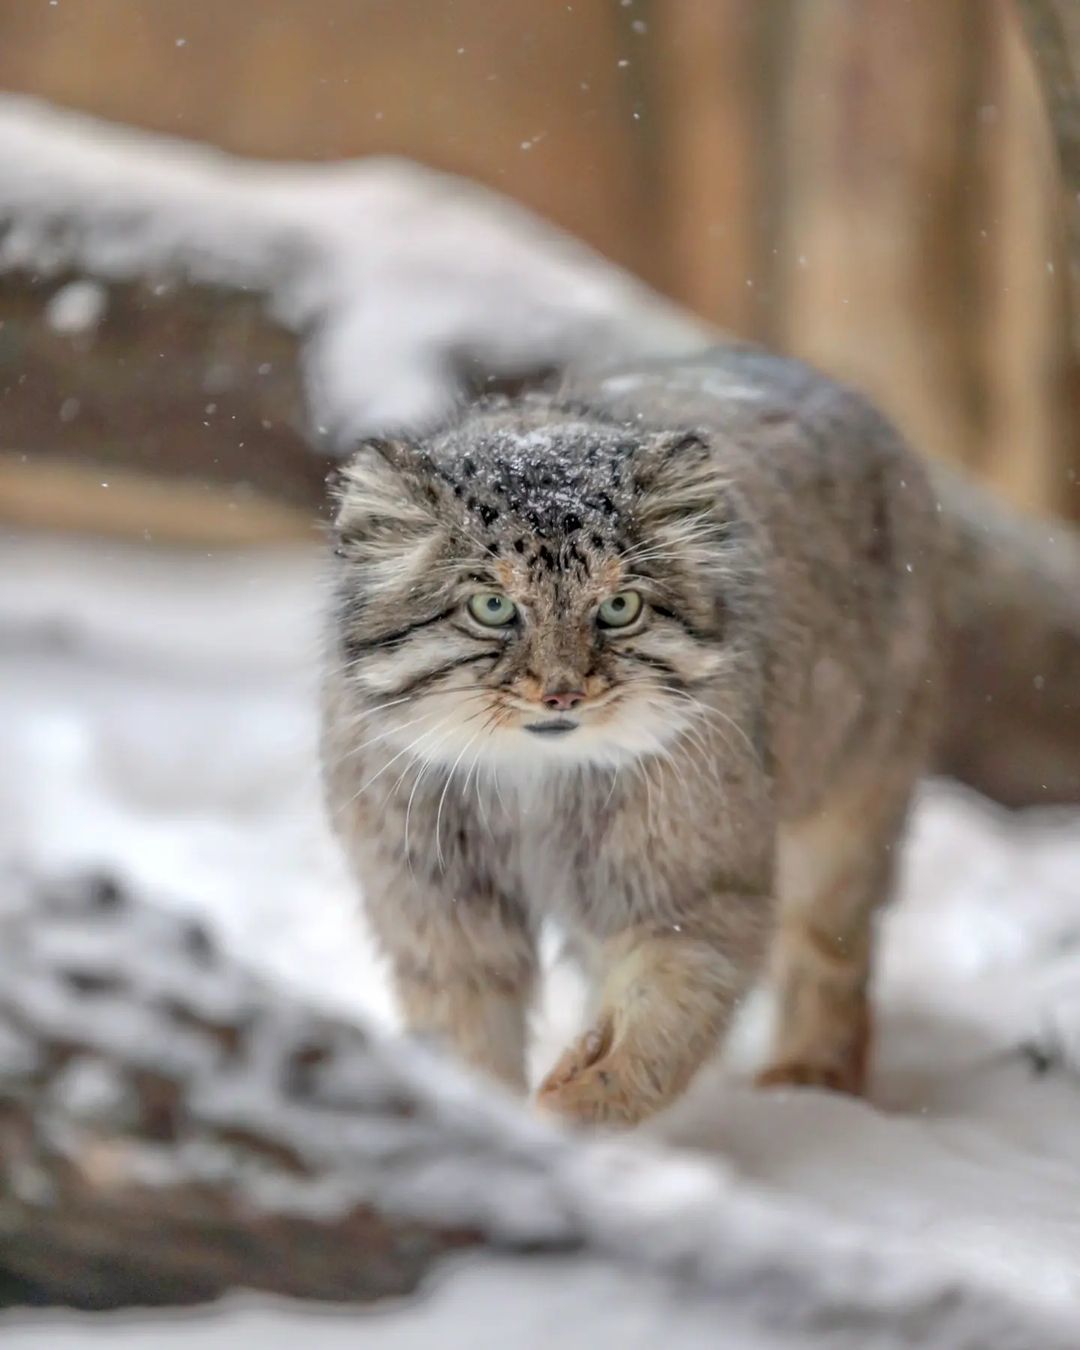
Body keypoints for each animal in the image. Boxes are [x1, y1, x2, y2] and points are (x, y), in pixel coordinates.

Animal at [315, 342, 939, 1123]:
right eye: (492, 607)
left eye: (618, 608)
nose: (562, 692)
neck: (531, 783)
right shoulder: (437, 903)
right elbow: (466, 1032)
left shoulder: (689, 885)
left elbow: (660, 1020)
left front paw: (577, 1104)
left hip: (850, 799)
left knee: (830, 947)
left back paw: (811, 1077)